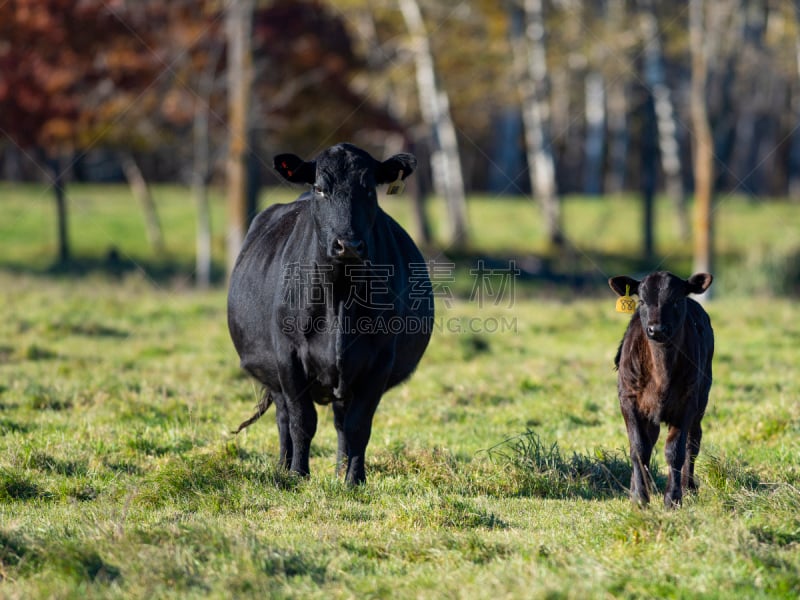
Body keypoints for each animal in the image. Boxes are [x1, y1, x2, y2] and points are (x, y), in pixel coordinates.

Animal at [228, 143, 434, 486]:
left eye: (369, 189)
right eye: (321, 189)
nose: (347, 244)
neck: (339, 297)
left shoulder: (379, 360)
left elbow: (358, 426)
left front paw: (354, 480)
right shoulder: (288, 357)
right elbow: (302, 420)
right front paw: (299, 474)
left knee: (340, 422)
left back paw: (339, 469)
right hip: (274, 373)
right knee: (284, 418)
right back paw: (283, 468)